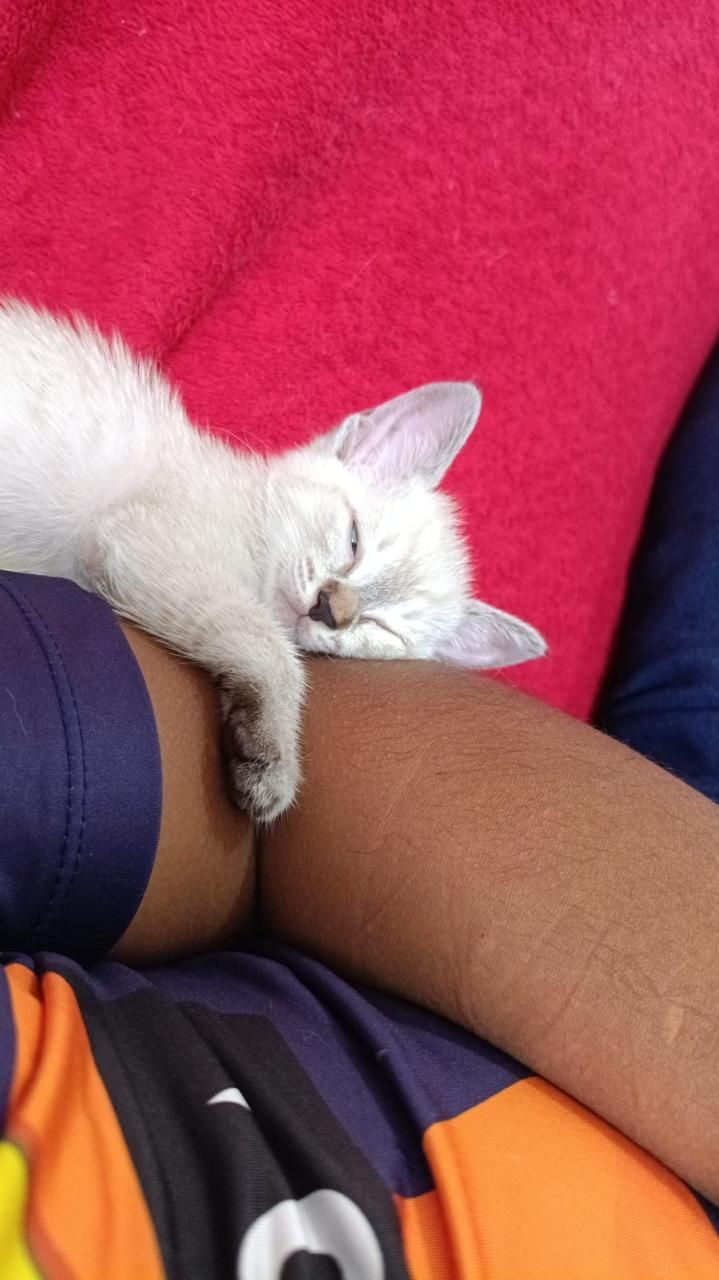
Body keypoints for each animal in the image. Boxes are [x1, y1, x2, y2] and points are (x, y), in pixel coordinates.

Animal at [0, 300, 546, 821]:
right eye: (354, 541)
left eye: (381, 628)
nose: (332, 608)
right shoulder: (141, 539)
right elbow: (274, 648)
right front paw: (276, 762)